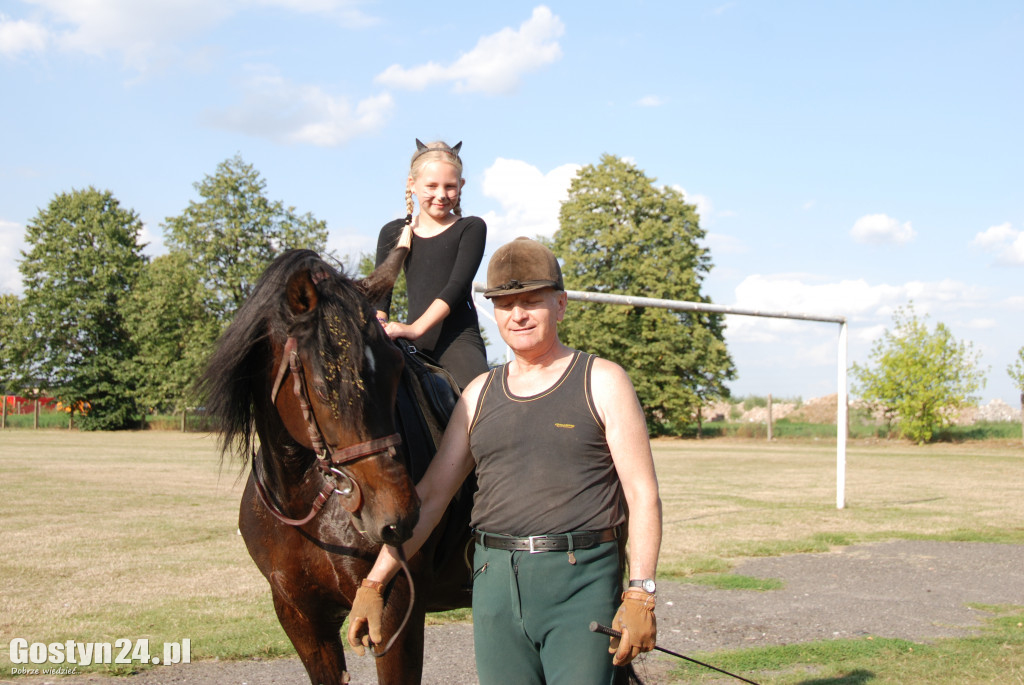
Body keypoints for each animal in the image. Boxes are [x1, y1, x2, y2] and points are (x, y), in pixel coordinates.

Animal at [201, 246, 473, 683]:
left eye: (396, 369)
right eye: (323, 381)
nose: (396, 516)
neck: (301, 495)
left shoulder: (393, 613)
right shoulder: (299, 616)